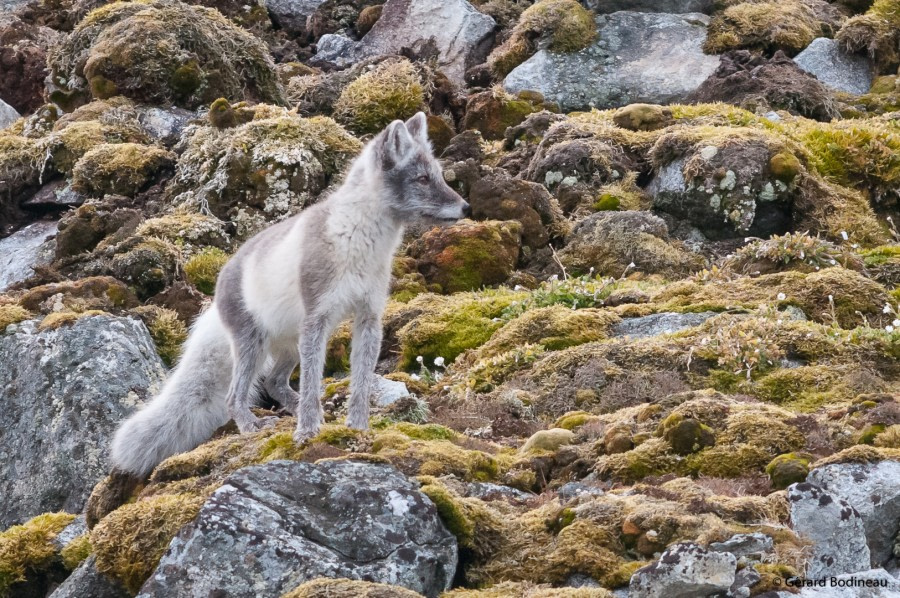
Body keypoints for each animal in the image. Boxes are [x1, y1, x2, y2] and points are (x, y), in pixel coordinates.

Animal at [110, 112, 472, 478]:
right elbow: (311, 383)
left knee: (273, 383)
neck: (359, 240)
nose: (467, 207)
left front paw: (358, 429)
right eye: (423, 179)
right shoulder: (317, 318)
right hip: (254, 345)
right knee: (234, 397)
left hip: (290, 345)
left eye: (438, 175)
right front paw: (307, 433)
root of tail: (219, 285)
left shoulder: (369, 317)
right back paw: (253, 426)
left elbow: (360, 384)